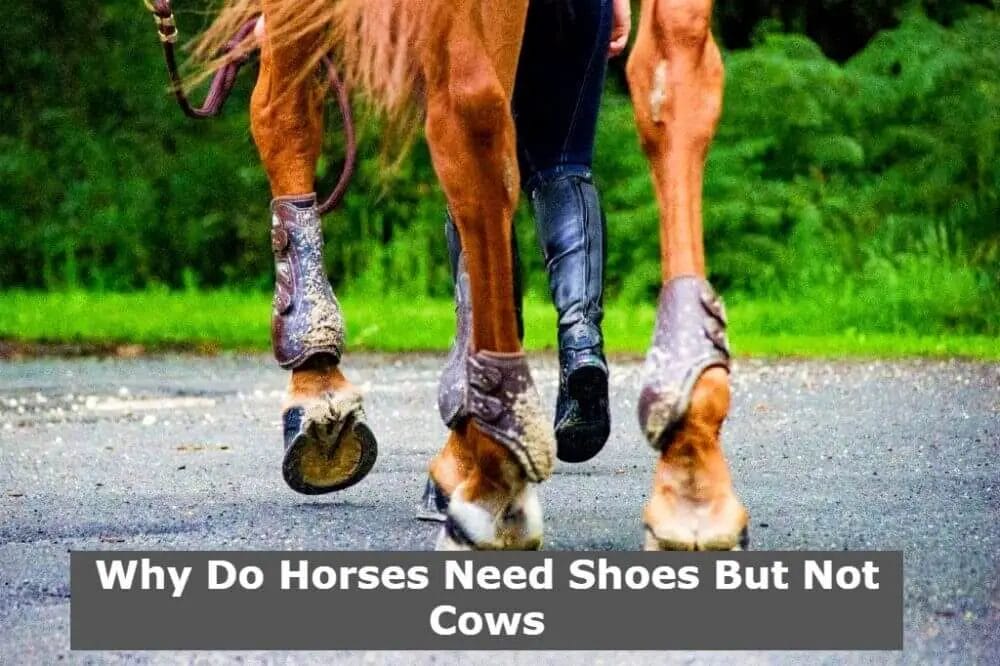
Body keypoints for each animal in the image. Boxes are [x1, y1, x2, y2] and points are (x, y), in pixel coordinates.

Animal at [151, 0, 748, 551]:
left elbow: (281, 112)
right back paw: (689, 478)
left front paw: (318, 391)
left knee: (470, 114)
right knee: (670, 68)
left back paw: (493, 484)